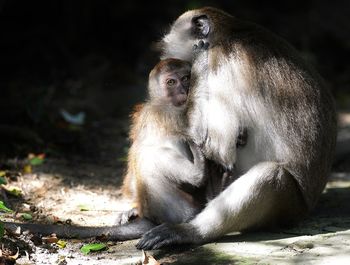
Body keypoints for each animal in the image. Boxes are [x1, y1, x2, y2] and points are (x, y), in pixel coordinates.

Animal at [136, 6, 336, 250]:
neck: (231, 32)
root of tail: (308, 206)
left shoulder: (221, 62)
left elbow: (217, 149)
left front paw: (200, 60)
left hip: (289, 207)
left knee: (270, 176)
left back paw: (191, 231)